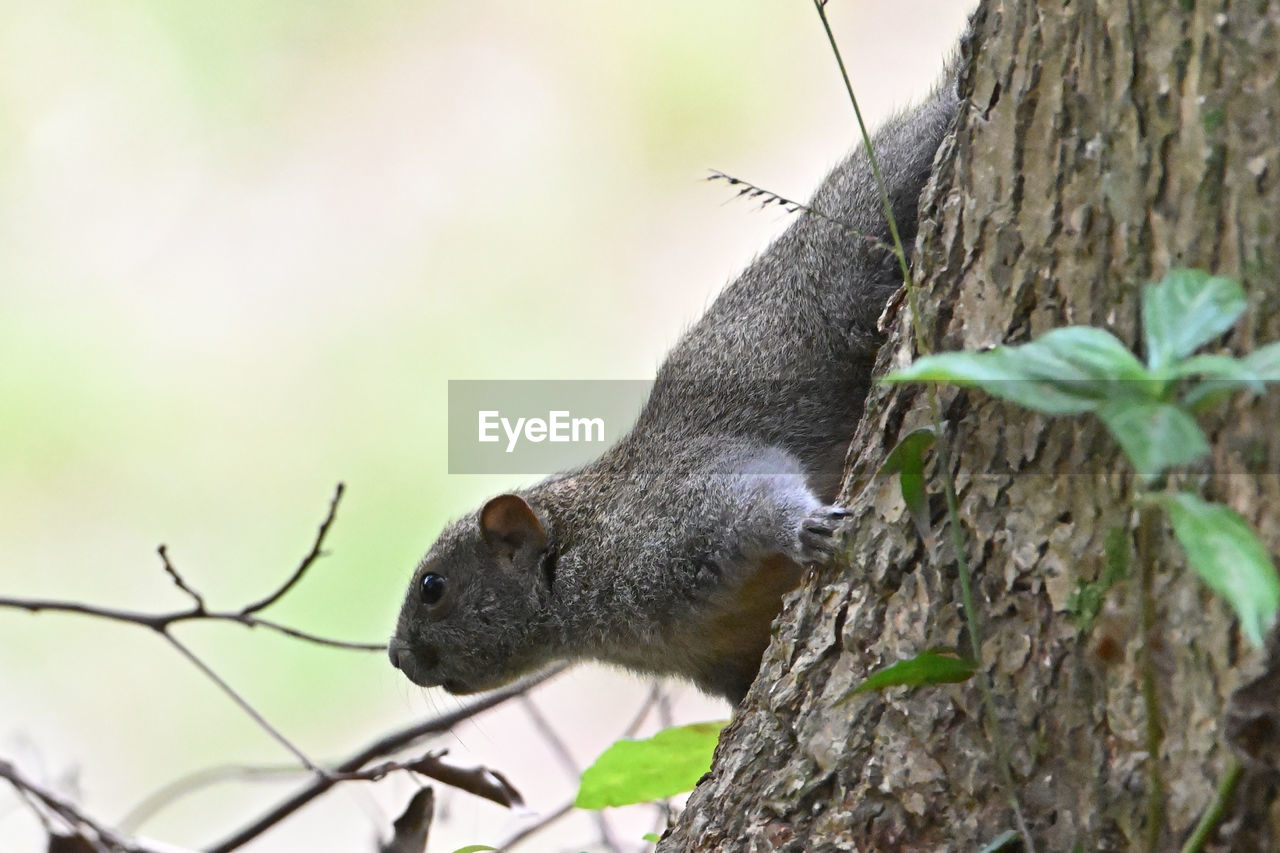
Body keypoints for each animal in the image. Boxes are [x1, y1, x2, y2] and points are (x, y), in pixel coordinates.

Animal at [389, 71, 962, 701]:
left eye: (433, 587)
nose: (396, 657)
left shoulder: (674, 515)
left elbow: (757, 497)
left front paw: (806, 528)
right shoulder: (722, 655)